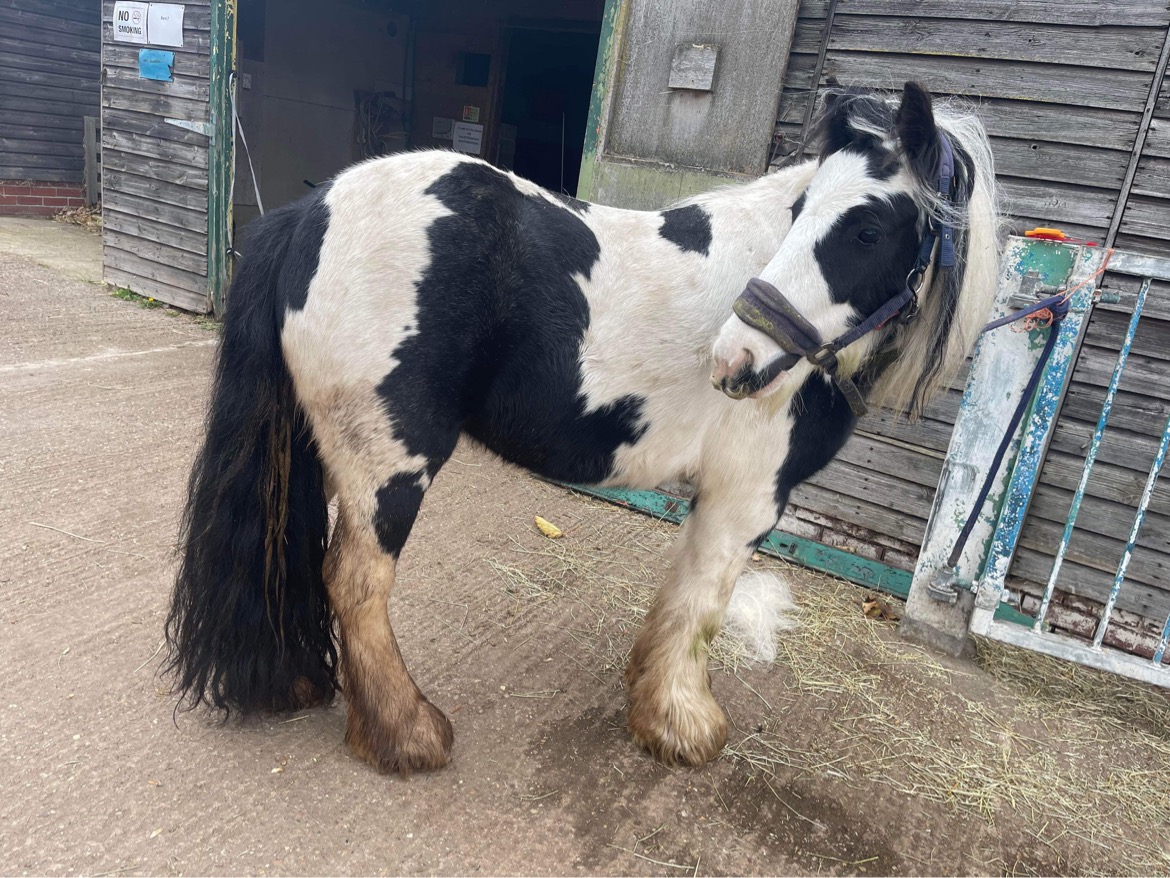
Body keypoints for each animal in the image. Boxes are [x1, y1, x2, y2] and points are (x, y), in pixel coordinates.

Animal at [166, 82, 1000, 775]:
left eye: (867, 230)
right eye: (813, 216)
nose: (735, 358)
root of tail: (310, 214)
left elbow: (680, 596)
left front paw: (652, 701)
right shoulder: (746, 497)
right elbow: (703, 603)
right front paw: (682, 726)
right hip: (389, 466)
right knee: (356, 581)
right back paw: (407, 735)